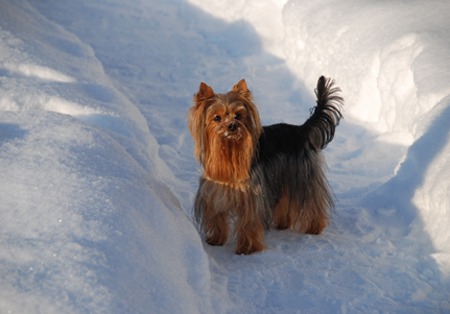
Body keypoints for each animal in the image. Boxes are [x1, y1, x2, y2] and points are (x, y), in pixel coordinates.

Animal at [188, 76, 342, 255]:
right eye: (217, 118)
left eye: (238, 115)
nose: (232, 125)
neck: (229, 154)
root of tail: (301, 130)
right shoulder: (215, 193)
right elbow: (216, 215)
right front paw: (216, 240)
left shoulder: (252, 195)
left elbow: (249, 221)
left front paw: (247, 248)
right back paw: (283, 223)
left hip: (303, 174)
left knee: (312, 200)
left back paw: (314, 227)